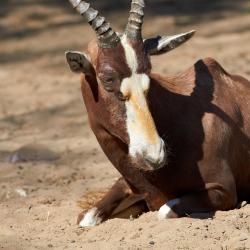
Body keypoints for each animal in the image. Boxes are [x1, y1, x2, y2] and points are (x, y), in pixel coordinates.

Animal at [65, 0, 250, 227]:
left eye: (148, 72)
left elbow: (163, 211)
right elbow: (86, 218)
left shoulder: (223, 190)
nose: (153, 155)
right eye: (107, 78)